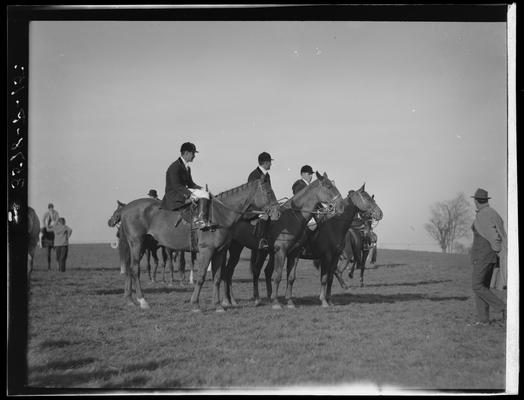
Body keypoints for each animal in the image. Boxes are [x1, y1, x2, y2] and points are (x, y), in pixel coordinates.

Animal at [220, 173, 346, 310]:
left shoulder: (294, 253)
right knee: (229, 272)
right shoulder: (281, 252)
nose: (341, 206)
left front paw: (289, 302)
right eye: (328, 187)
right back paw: (228, 301)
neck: (292, 218)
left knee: (234, 272)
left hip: (244, 249)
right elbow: (278, 276)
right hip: (234, 248)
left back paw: (236, 300)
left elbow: (291, 277)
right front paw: (276, 302)